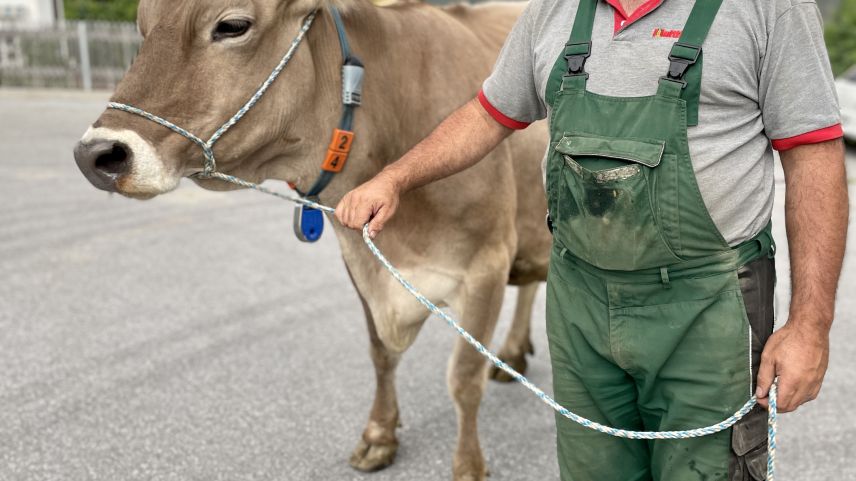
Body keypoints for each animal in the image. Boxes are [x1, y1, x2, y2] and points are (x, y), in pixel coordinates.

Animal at [72, 1, 548, 478]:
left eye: (232, 26)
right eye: (143, 27)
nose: (95, 155)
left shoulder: (486, 265)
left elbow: (464, 378)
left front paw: (468, 465)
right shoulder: (358, 255)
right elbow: (381, 354)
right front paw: (378, 436)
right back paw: (513, 353)